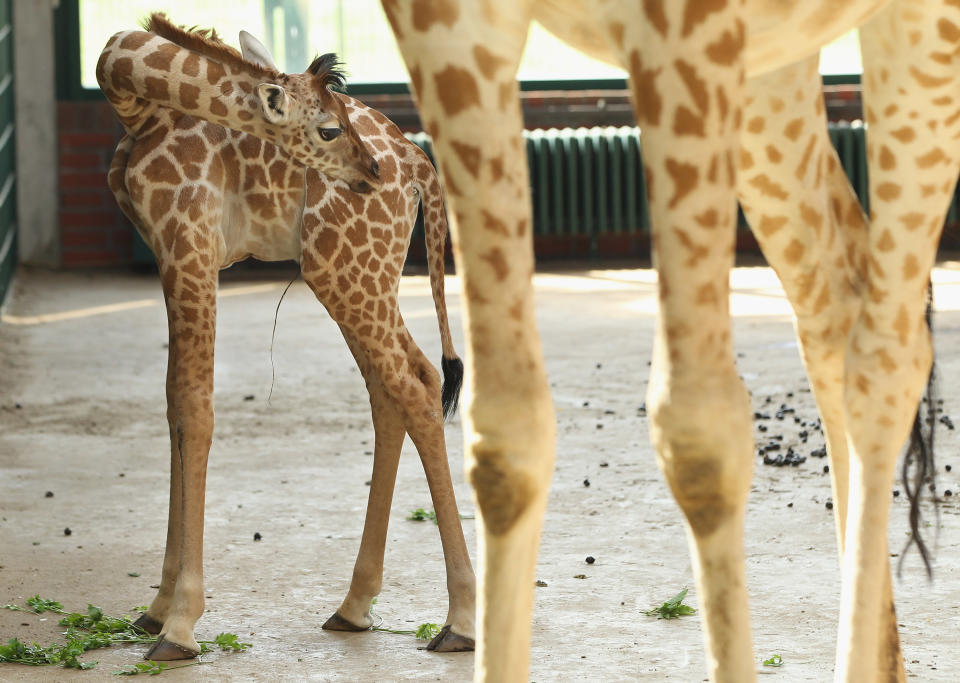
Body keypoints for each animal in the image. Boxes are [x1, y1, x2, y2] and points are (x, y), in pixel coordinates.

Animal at [96, 13, 472, 660]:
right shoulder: (167, 252)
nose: (367, 172)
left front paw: (180, 624)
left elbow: (195, 411)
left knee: (415, 385)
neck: (136, 103)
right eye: (328, 127)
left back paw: (461, 619)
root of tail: (416, 163)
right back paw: (354, 606)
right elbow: (172, 408)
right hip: (357, 273)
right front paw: (156, 607)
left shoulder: (189, 243)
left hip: (345, 270)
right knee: (396, 387)